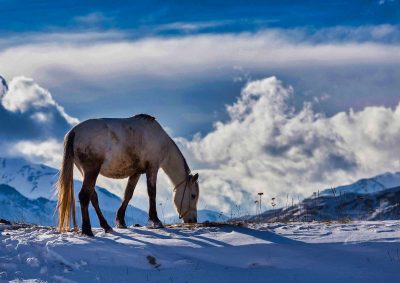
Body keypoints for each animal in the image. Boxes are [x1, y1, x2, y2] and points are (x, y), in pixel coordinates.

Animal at [56, 114, 200, 236]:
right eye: (193, 196)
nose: (193, 220)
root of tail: (74, 131)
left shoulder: (136, 172)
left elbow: (128, 194)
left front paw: (120, 221)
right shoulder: (152, 168)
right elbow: (152, 193)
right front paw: (155, 221)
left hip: (85, 172)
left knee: (93, 196)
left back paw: (106, 226)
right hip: (92, 171)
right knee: (84, 196)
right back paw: (87, 230)